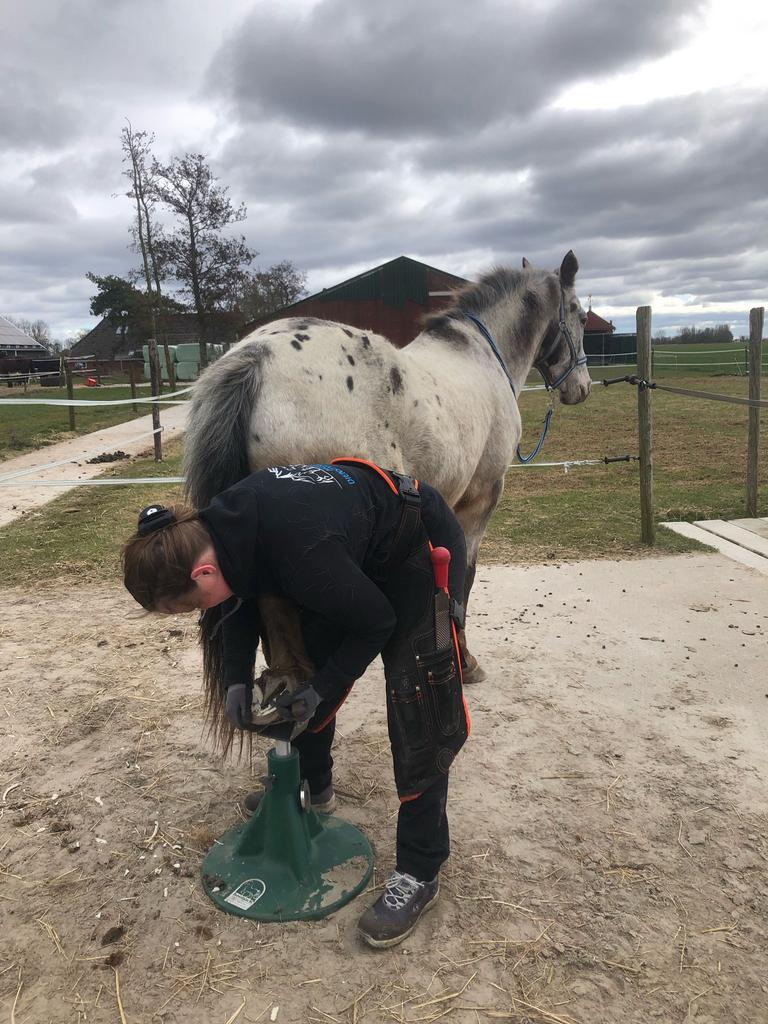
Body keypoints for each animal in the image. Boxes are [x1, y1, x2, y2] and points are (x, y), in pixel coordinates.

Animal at [184, 251, 591, 704]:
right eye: (579, 315)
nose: (582, 386)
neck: (483, 357)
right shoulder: (478, 500)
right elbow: (463, 578)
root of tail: (255, 358)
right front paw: (466, 662)